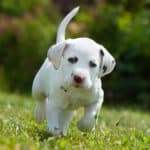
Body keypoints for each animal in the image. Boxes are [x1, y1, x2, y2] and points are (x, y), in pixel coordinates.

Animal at [32, 6, 115, 136]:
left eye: (93, 64)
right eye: (72, 59)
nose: (79, 77)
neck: (76, 90)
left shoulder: (97, 99)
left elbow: (90, 117)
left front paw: (84, 126)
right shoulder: (54, 104)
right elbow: (53, 122)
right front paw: (55, 131)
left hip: (69, 110)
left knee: (65, 117)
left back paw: (64, 129)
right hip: (37, 87)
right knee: (40, 100)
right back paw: (39, 114)